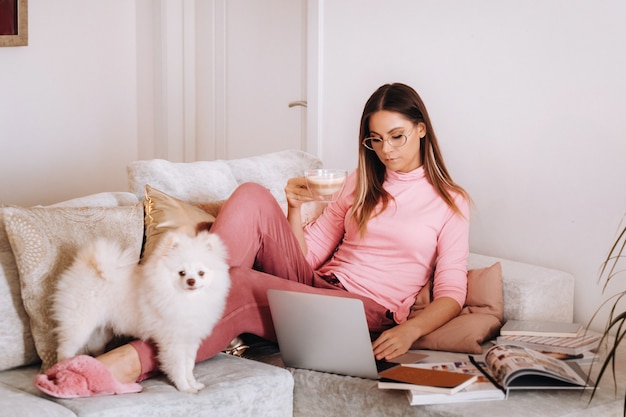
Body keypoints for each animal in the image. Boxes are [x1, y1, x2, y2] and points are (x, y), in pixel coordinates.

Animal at [53, 226, 229, 392]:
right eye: (182, 272)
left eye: (201, 273)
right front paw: (184, 387)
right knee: (65, 348)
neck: (185, 299)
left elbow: (188, 366)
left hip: (100, 331)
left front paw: (193, 383)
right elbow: (178, 367)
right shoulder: (173, 341)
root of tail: (86, 265)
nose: (191, 281)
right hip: (79, 324)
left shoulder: (189, 339)